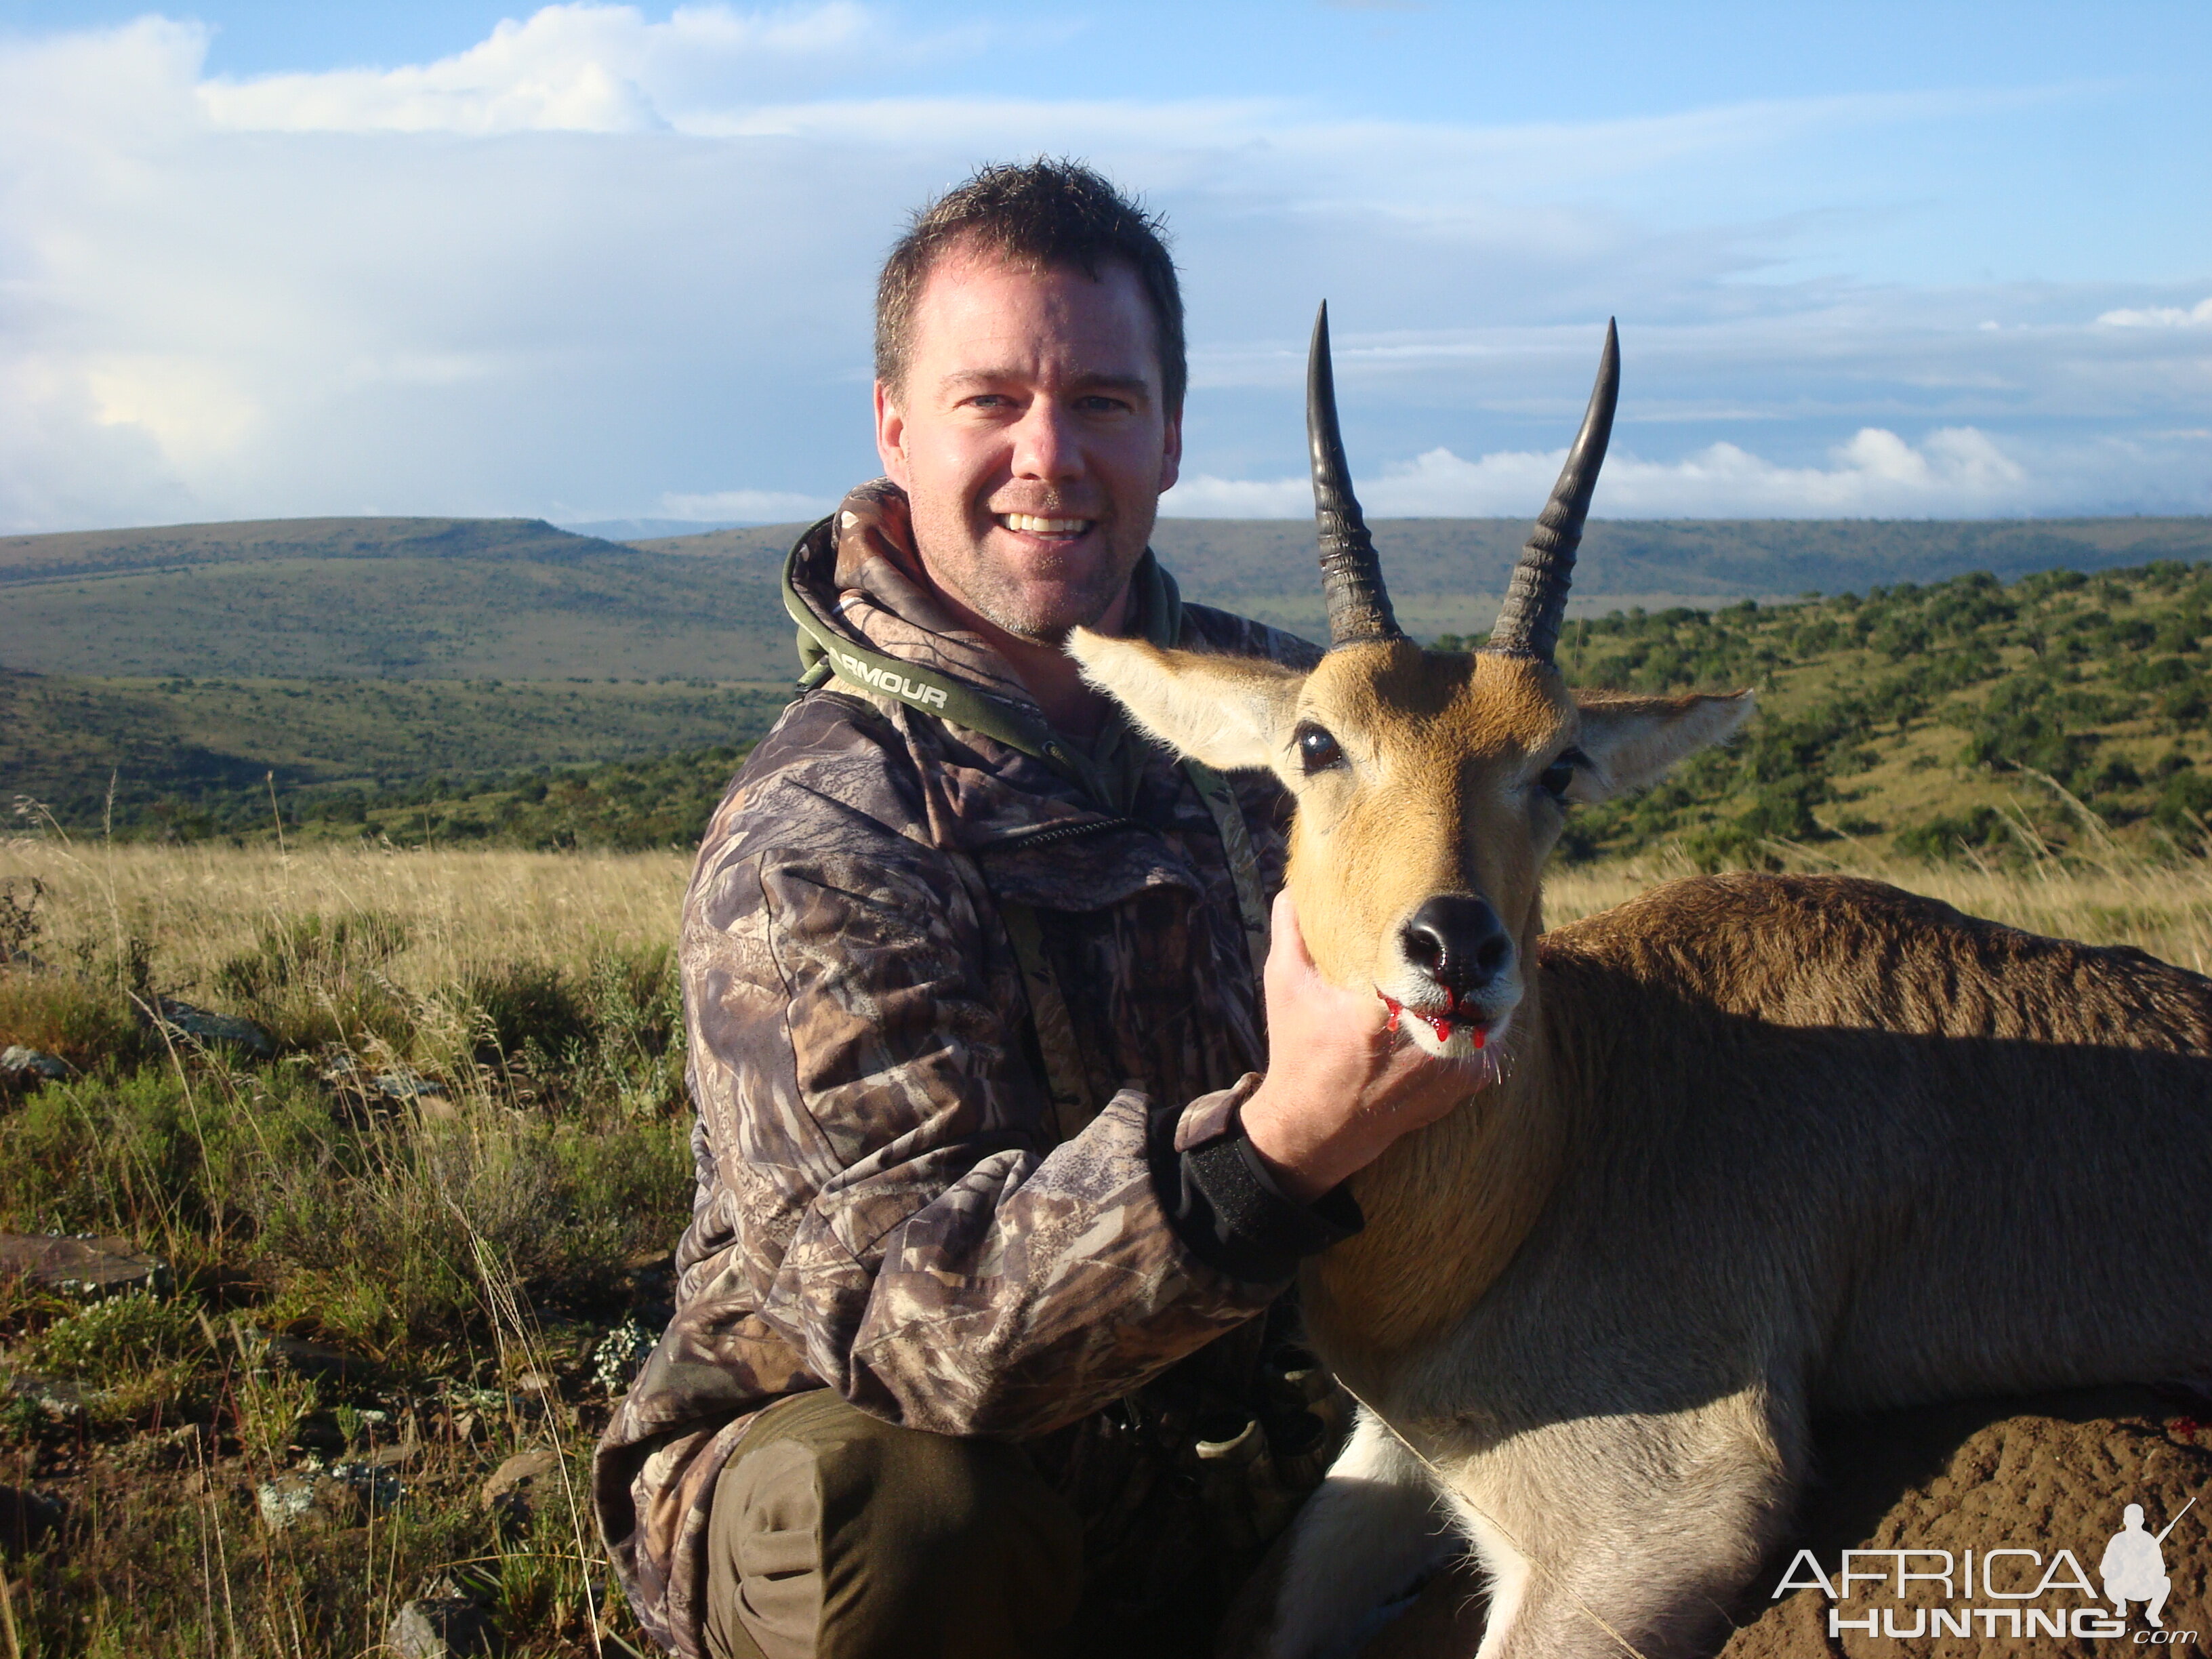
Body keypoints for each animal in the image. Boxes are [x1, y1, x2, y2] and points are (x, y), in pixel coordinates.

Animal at [1066, 312, 2212, 1659]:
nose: (1455, 948)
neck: (1552, 1159)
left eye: (1558, 765)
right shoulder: (1394, 1460)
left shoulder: (1646, 1523)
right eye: (1314, 739)